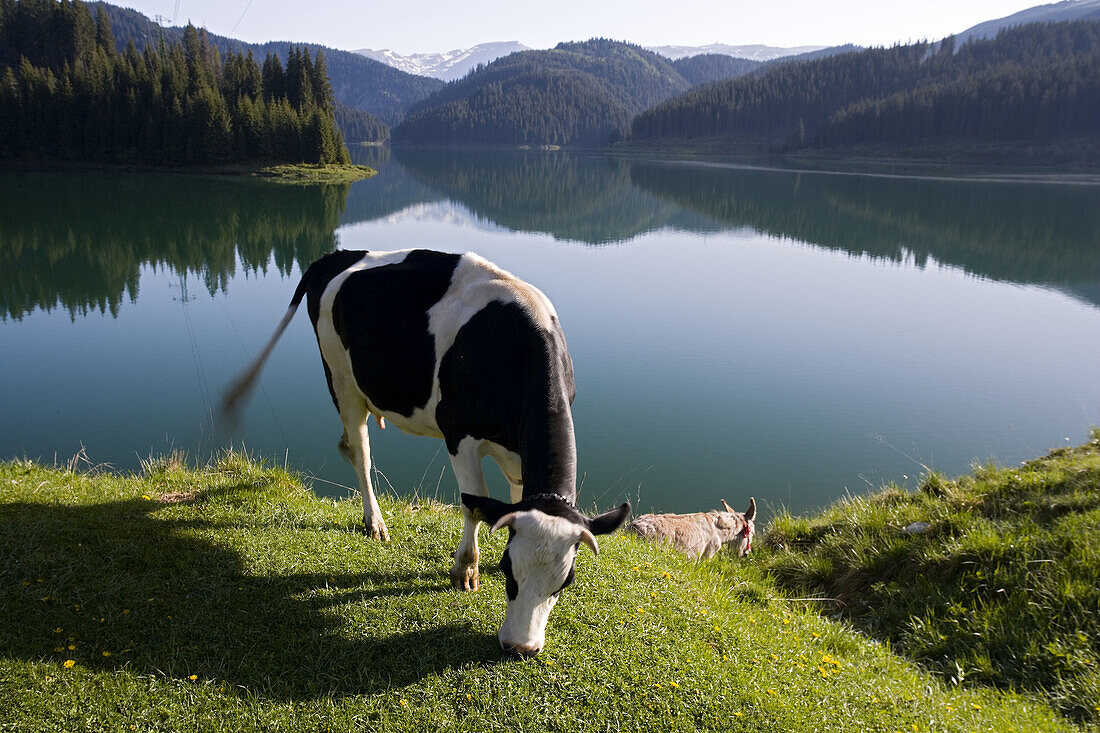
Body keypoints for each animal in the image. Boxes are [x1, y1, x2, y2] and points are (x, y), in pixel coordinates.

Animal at [223, 248, 633, 651]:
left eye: (565, 582)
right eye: (508, 571)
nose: (520, 647)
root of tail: (339, 254)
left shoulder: (518, 454)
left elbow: (511, 500)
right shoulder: (459, 433)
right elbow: (473, 504)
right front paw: (465, 570)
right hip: (341, 379)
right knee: (360, 453)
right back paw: (375, 522)